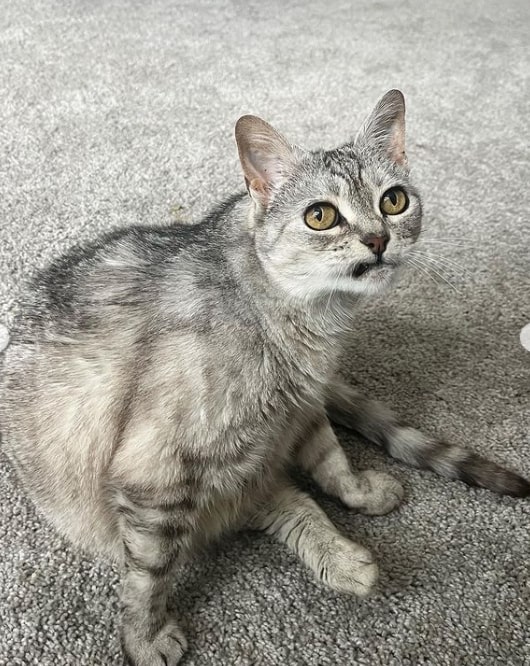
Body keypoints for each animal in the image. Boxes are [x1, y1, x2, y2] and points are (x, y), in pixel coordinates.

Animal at [0, 89, 524, 664]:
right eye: (320, 216)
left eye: (393, 201)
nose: (378, 238)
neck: (308, 322)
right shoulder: (156, 472)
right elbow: (148, 577)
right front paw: (144, 636)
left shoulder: (303, 408)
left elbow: (332, 463)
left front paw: (358, 490)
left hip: (248, 467)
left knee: (284, 501)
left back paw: (345, 558)